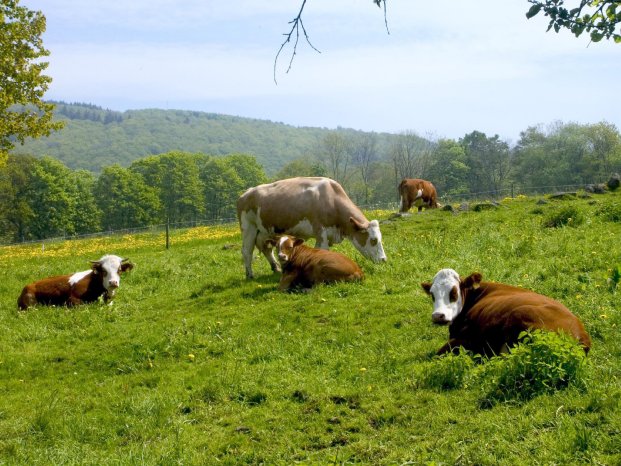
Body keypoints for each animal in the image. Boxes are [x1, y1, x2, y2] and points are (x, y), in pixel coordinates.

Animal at [236, 175, 386, 276]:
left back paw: (276, 268)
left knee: (266, 248)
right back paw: (250, 275)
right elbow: (321, 252)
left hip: (264, 231)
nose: (384, 260)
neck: (332, 199)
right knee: (246, 251)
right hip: (248, 228)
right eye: (374, 240)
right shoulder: (321, 233)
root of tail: (245, 194)